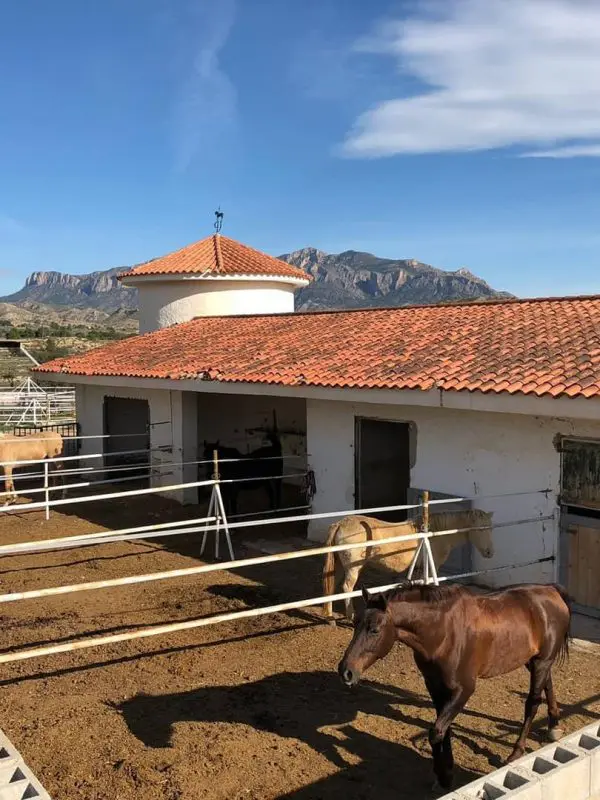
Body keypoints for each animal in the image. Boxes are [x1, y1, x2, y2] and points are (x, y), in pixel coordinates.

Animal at [322, 509, 494, 622]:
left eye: (490, 529)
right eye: (480, 529)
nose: (490, 553)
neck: (434, 534)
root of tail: (340, 524)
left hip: (339, 566)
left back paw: (329, 616)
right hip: (353, 568)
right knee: (347, 588)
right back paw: (351, 615)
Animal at [338, 582, 571, 792]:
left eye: (374, 630)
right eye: (355, 623)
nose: (345, 671)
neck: (443, 632)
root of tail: (552, 591)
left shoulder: (463, 690)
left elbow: (436, 731)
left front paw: (443, 777)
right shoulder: (435, 687)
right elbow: (444, 729)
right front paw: (447, 773)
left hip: (541, 661)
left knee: (532, 703)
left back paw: (516, 752)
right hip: (534, 661)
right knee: (548, 686)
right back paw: (554, 726)